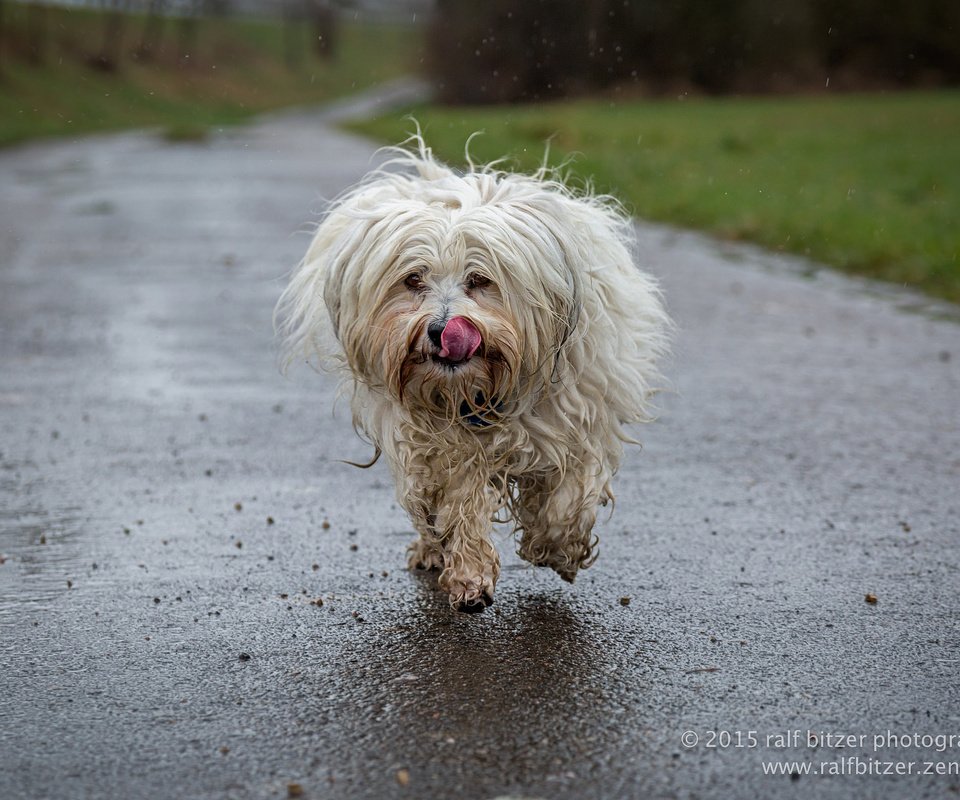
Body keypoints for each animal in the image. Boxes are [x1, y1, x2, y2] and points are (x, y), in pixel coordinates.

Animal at [276, 139, 668, 612]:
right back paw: (431, 550)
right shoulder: (444, 445)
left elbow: (569, 495)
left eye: (480, 280)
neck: (483, 388)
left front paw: (555, 547)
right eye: (413, 279)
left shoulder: (582, 417)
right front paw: (469, 577)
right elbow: (459, 502)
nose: (442, 329)